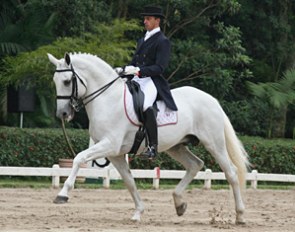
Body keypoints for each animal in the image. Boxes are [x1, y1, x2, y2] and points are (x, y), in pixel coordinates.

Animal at [48, 52, 250, 223]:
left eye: (67, 81)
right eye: (54, 81)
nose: (62, 114)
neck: (108, 98)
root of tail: (211, 99)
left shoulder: (110, 145)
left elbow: (79, 157)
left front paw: (63, 194)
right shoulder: (115, 154)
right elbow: (129, 181)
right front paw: (138, 212)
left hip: (214, 144)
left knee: (231, 173)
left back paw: (240, 216)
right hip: (176, 146)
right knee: (195, 164)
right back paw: (179, 204)